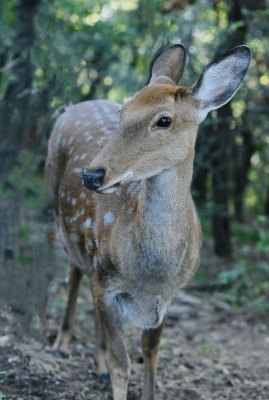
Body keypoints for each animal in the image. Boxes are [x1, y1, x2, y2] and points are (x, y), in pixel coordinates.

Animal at [45, 44, 249, 400]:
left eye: (164, 120)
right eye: (123, 112)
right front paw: (110, 372)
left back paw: (96, 365)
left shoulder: (166, 296)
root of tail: (72, 106)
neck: (150, 273)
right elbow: (122, 364)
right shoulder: (105, 276)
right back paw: (61, 344)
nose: (91, 175)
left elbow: (150, 354)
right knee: (73, 275)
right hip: (66, 224)